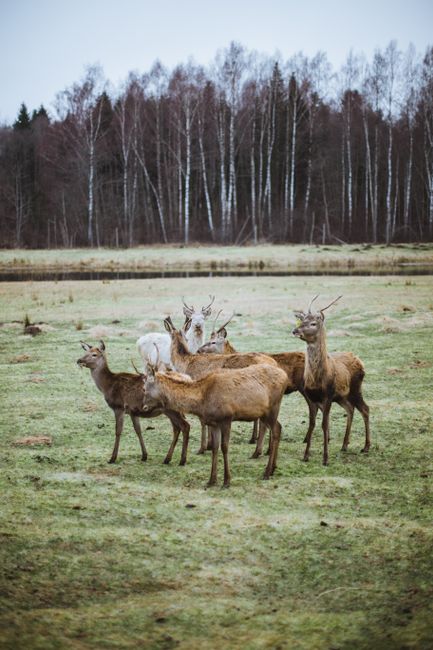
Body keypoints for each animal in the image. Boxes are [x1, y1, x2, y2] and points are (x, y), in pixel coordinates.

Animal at [142, 352, 288, 487]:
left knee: (276, 430)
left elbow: (224, 447)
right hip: (266, 412)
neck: (202, 400)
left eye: (144, 388)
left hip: (273, 408)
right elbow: (215, 448)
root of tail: (285, 375)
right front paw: (211, 480)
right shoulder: (213, 423)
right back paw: (273, 469)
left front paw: (227, 481)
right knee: (279, 427)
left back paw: (267, 472)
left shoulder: (227, 418)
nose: (144, 407)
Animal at [292, 296, 371, 466]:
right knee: (350, 409)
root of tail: (359, 360)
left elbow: (324, 424)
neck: (317, 380)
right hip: (342, 396)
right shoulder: (312, 397)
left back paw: (366, 446)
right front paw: (306, 455)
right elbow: (312, 424)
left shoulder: (328, 395)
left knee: (365, 409)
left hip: (356, 388)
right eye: (302, 320)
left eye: (313, 323)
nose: (295, 330)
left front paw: (325, 458)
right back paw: (344, 445)